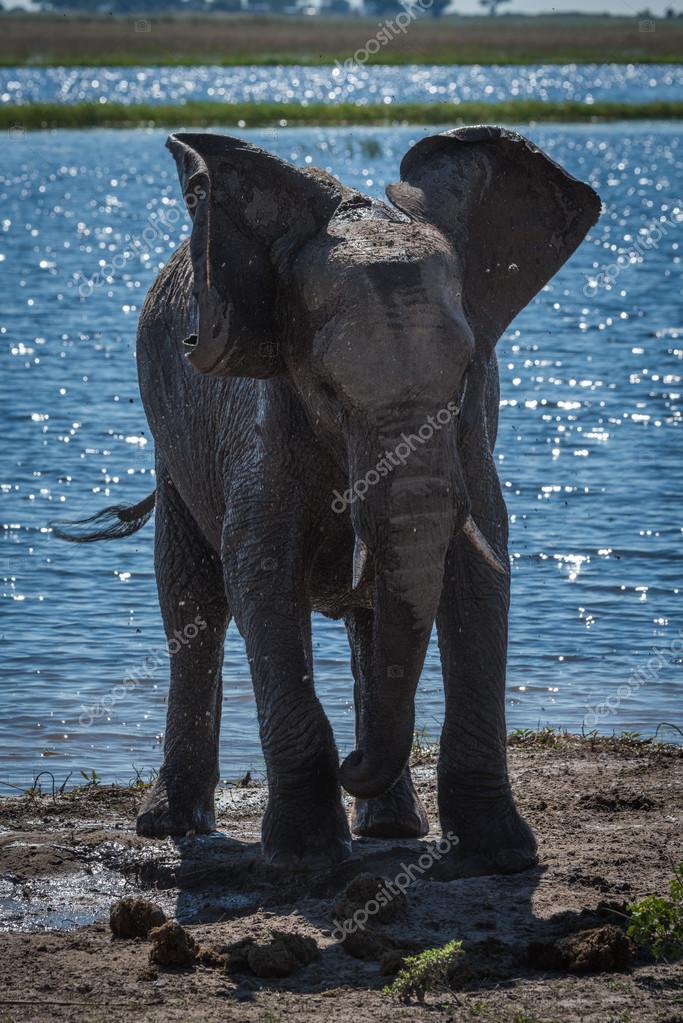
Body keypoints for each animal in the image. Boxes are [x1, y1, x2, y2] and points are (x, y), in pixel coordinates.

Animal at [54, 126, 600, 875]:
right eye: (329, 390)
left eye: (464, 375)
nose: (353, 762)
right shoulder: (263, 421)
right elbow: (257, 573)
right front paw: (305, 856)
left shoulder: (472, 436)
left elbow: (479, 574)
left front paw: (501, 857)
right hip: (171, 442)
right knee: (194, 601)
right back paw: (171, 825)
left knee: (368, 614)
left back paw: (392, 826)